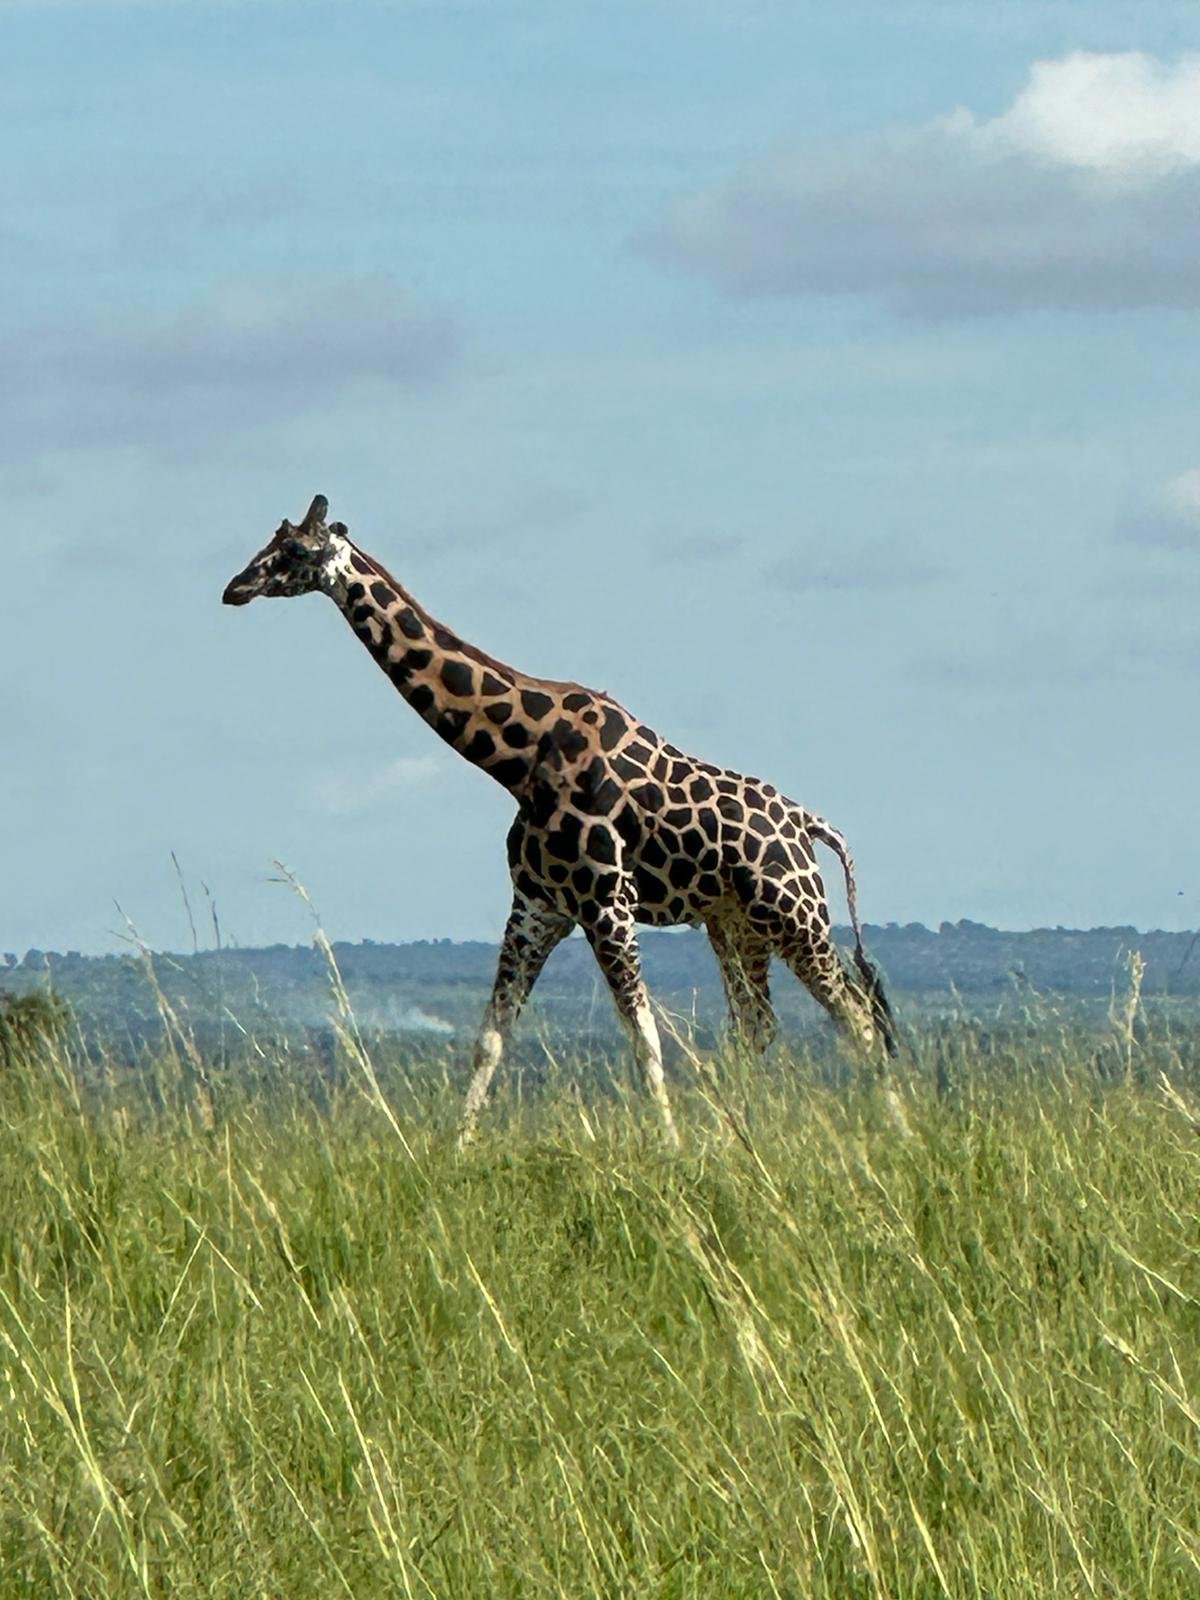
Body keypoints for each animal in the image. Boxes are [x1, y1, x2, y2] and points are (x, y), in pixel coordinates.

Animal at [223, 496, 897, 1147]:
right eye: (271, 539)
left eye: (298, 550)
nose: (235, 587)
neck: (519, 758)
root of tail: (811, 825)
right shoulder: (536, 906)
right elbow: (490, 1038)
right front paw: (454, 1152)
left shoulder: (607, 903)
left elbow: (645, 1039)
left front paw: (672, 1150)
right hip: (735, 924)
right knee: (759, 1026)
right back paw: (740, 1135)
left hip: (795, 916)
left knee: (859, 1021)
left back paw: (894, 1132)